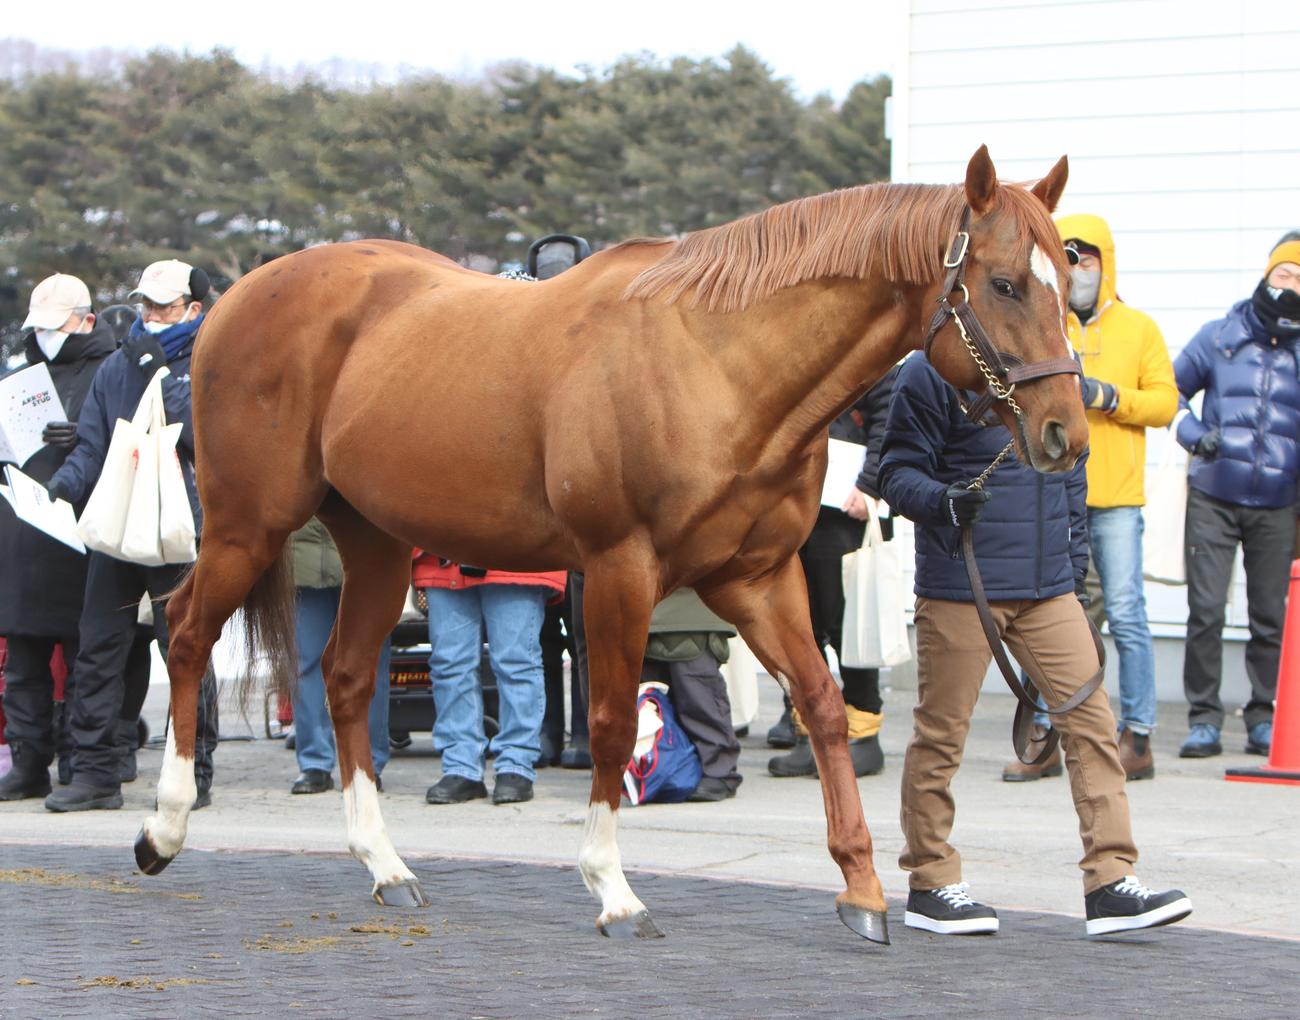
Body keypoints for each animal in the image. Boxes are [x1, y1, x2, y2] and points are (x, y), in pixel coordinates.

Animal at [134, 145, 1083, 946]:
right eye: (1004, 284)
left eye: (1069, 287)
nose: (1067, 432)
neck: (719, 362)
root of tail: (233, 304)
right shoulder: (622, 569)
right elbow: (613, 719)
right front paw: (613, 889)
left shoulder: (757, 577)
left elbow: (819, 705)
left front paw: (862, 889)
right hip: (247, 525)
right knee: (185, 632)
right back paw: (163, 828)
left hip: (374, 542)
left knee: (343, 676)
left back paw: (387, 867)